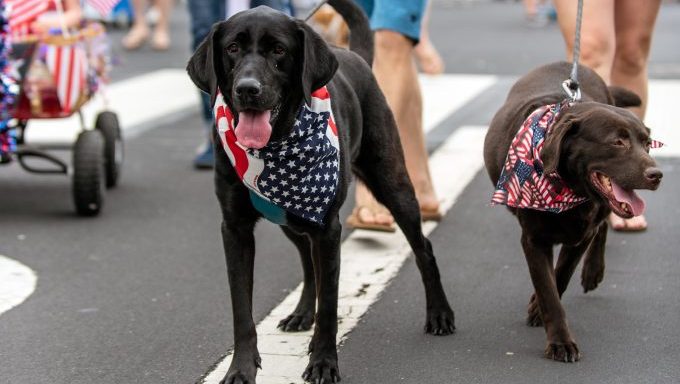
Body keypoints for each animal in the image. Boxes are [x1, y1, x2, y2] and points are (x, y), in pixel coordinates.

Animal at [186, 1, 454, 382]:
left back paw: (440, 313)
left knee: (423, 248)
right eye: (232, 48)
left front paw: (324, 362)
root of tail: (355, 56)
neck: (274, 145)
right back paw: (301, 314)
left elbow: (329, 305)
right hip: (290, 219)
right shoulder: (235, 230)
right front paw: (241, 368)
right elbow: (242, 310)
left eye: (279, 50)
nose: (247, 89)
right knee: (307, 261)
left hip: (393, 185)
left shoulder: (328, 229)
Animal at [484, 62, 664, 364]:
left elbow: (561, 275)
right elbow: (548, 290)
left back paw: (594, 271)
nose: (657, 174)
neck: (567, 189)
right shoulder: (533, 240)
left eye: (647, 142)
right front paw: (560, 342)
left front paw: (537, 310)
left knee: (603, 227)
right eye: (618, 142)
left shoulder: (582, 235)